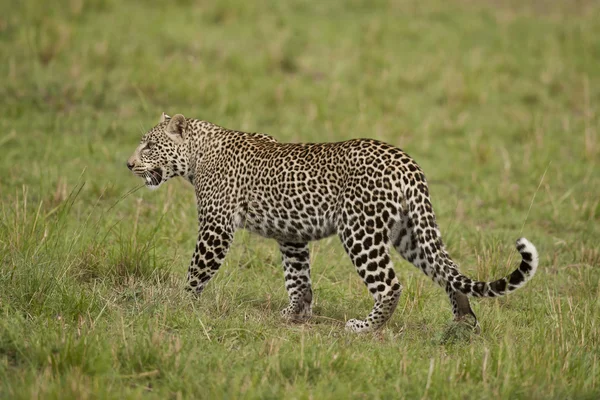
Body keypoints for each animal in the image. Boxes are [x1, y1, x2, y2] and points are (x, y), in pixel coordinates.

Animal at [127, 113, 540, 334]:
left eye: (149, 145)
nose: (128, 164)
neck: (197, 156)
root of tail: (408, 163)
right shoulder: (292, 235)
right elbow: (298, 278)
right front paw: (295, 313)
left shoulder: (216, 226)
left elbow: (197, 270)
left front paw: (178, 304)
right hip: (409, 232)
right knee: (447, 270)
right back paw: (463, 324)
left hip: (360, 231)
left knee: (391, 285)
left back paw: (365, 327)